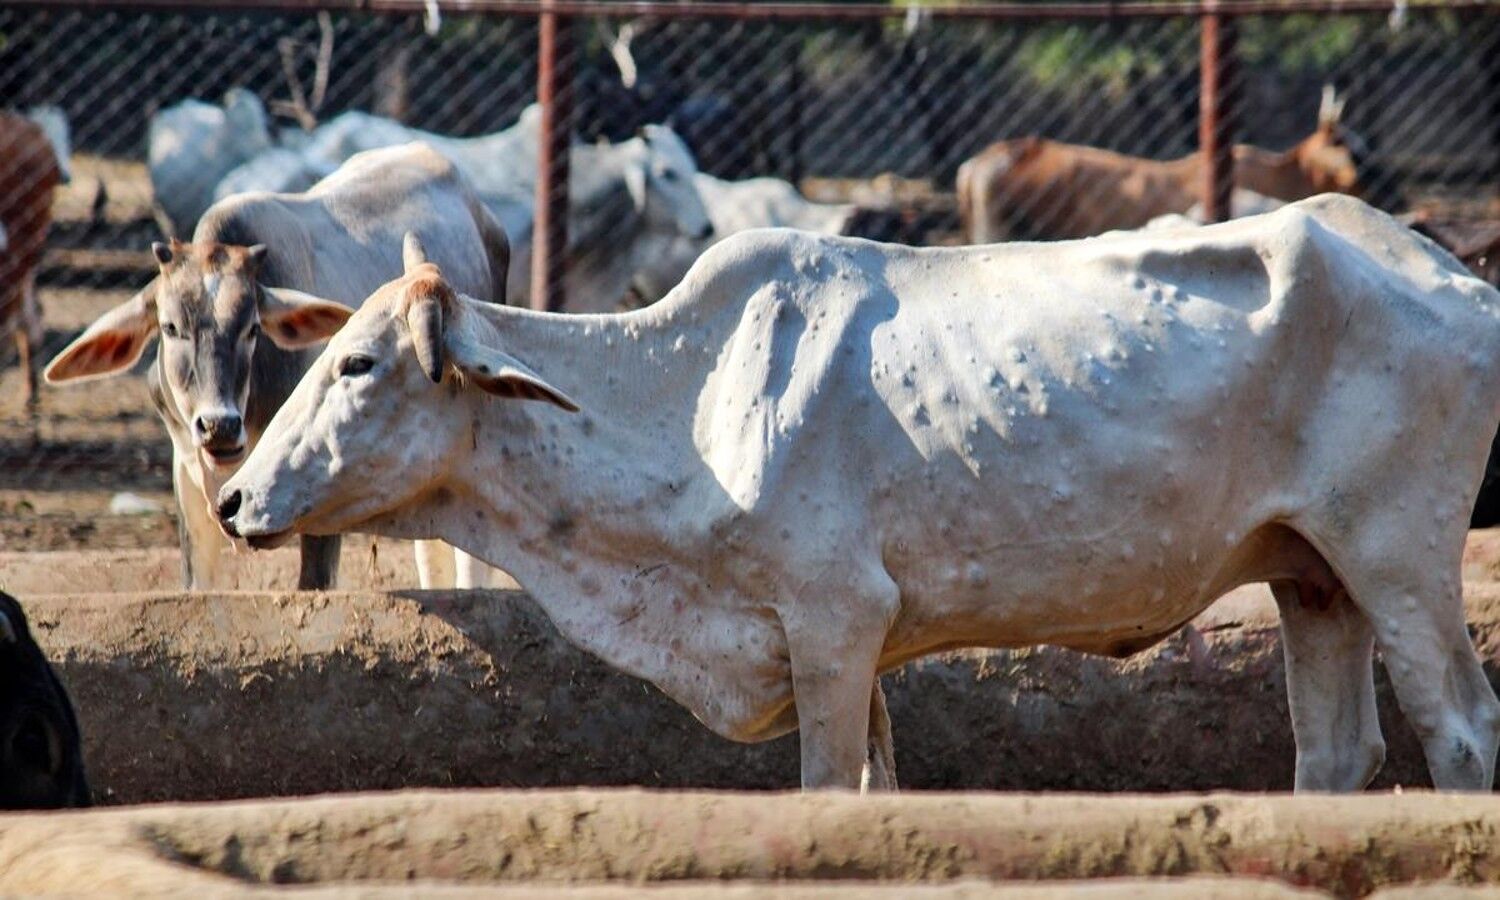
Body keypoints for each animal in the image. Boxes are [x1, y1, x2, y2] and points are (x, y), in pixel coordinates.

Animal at [217, 193, 1500, 792]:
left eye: (357, 363)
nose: (235, 502)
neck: (686, 399)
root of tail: (1453, 272)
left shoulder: (832, 623)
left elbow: (829, 786)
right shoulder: (863, 643)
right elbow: (882, 788)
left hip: (1400, 556)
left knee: (1460, 728)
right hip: (1314, 575)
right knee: (1334, 754)